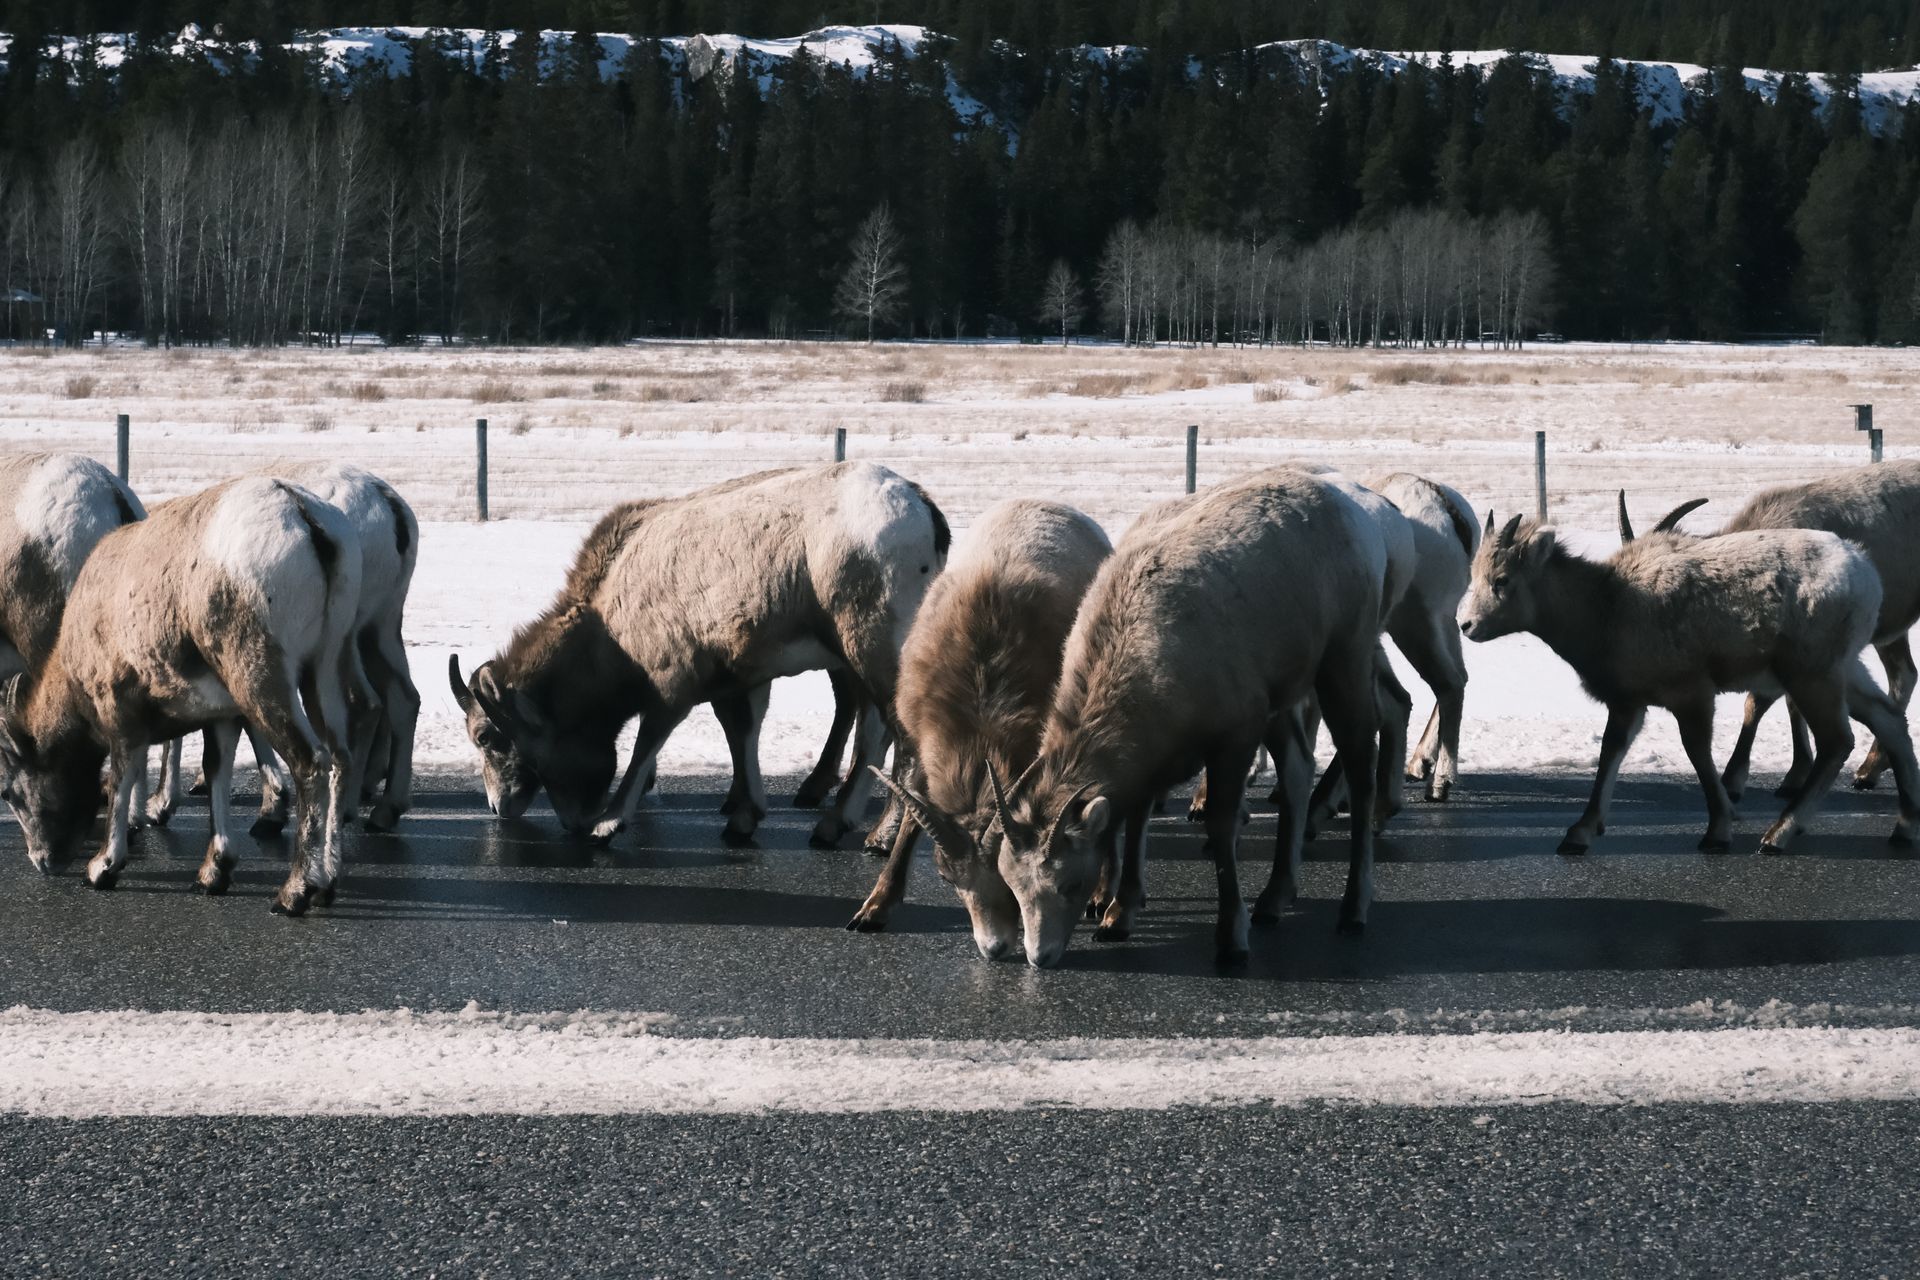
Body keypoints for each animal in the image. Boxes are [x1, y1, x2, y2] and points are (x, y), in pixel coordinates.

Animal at [0, 476, 361, 914]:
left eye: (8, 792)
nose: (43, 861)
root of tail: (302, 514)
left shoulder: (120, 715)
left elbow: (121, 779)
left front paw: (103, 867)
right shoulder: (223, 716)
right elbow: (215, 771)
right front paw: (212, 874)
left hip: (263, 678)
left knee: (311, 762)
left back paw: (294, 894)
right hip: (324, 672)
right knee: (340, 759)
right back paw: (326, 885)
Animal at [450, 463, 948, 847]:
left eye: (486, 737)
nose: (499, 808)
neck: (609, 625)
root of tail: (923, 513)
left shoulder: (672, 685)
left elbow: (645, 746)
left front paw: (608, 823)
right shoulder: (737, 680)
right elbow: (740, 736)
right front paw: (742, 820)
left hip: (869, 650)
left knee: (898, 737)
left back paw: (879, 837)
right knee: (871, 730)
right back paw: (833, 823)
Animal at [991, 468, 1389, 968]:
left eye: (1069, 884)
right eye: (1013, 887)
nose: (1038, 957)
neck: (1148, 647)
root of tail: (1357, 510)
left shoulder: (1235, 737)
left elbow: (1221, 827)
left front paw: (1231, 941)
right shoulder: (1152, 757)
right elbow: (1136, 820)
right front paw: (1118, 917)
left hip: (1343, 661)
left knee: (1360, 765)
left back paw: (1353, 911)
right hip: (1282, 697)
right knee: (1298, 771)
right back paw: (1273, 903)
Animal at [1459, 511, 1920, 855]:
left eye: (1501, 580)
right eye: (1474, 575)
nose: (1467, 625)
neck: (1607, 610)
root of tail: (1864, 574)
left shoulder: (1691, 694)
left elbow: (1698, 753)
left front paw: (1719, 830)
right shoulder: (1628, 703)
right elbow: (1611, 754)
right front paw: (1580, 834)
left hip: (1811, 675)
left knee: (1837, 741)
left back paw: (1778, 835)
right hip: (1845, 670)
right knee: (1890, 721)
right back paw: (1905, 827)